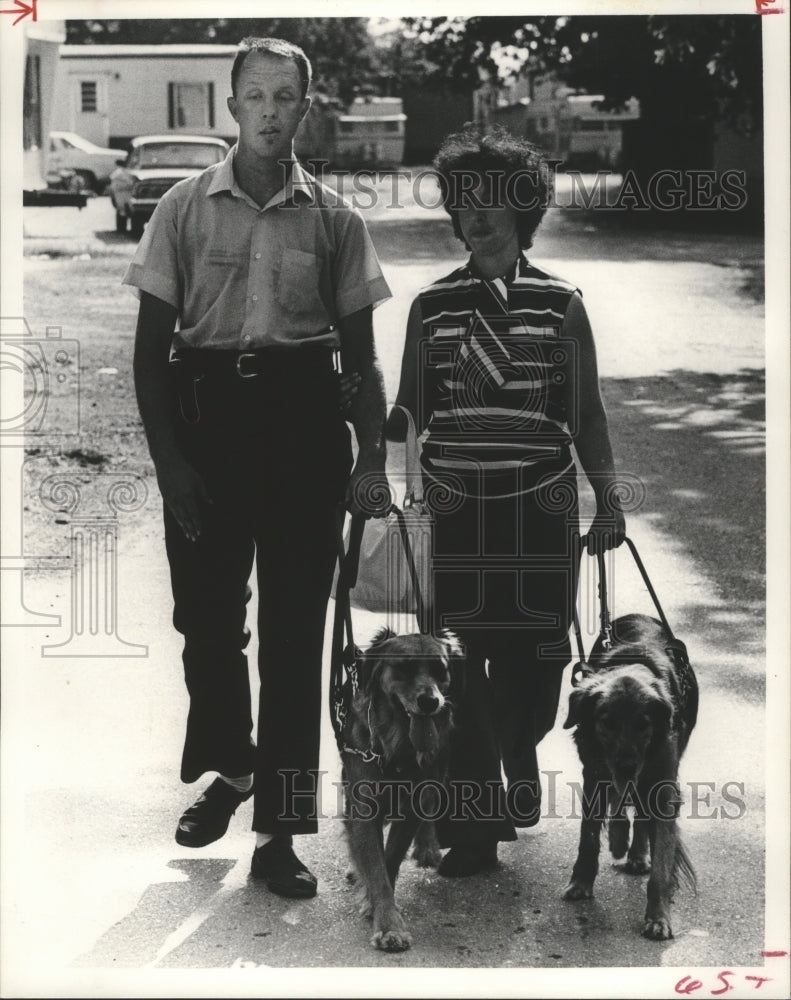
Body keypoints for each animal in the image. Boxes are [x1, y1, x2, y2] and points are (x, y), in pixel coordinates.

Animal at [340, 628, 464, 948]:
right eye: (404, 668)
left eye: (440, 670)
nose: (430, 702)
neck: (396, 745)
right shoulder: (364, 803)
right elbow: (374, 862)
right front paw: (387, 922)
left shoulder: (412, 804)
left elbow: (390, 859)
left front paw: (381, 912)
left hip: (437, 770)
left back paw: (427, 846)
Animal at [564, 612, 700, 940]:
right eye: (606, 722)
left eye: (643, 724)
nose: (627, 764)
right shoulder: (595, 775)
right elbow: (589, 838)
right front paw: (581, 882)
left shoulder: (662, 786)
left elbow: (661, 864)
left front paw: (658, 918)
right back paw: (619, 840)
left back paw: (637, 854)